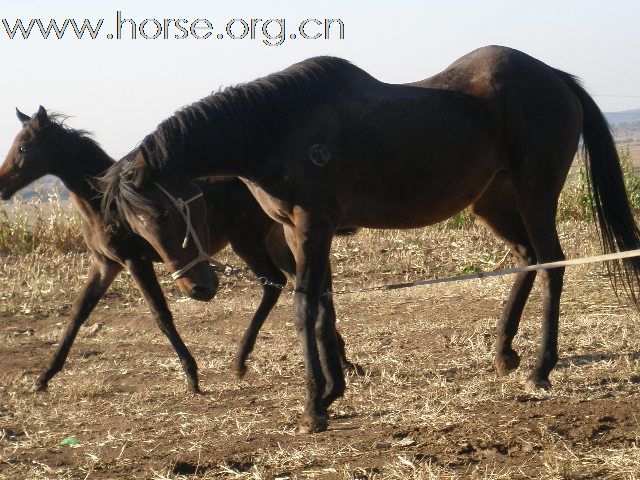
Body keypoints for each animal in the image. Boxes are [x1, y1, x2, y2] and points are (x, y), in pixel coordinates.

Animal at [0, 108, 360, 390]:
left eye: (24, 147)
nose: (3, 186)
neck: (101, 205)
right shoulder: (104, 264)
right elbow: (78, 312)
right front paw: (44, 377)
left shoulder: (134, 261)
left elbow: (161, 315)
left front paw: (192, 376)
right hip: (270, 240)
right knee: (300, 282)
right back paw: (339, 358)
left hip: (248, 241)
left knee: (277, 282)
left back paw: (244, 360)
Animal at [100, 47, 640, 434]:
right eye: (137, 226)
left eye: (167, 211)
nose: (197, 289)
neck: (276, 128)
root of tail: (556, 76)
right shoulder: (301, 231)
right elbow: (324, 306)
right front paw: (333, 389)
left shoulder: (312, 226)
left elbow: (305, 308)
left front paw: (314, 405)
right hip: (494, 202)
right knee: (528, 259)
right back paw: (505, 352)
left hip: (535, 194)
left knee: (552, 263)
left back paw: (541, 368)